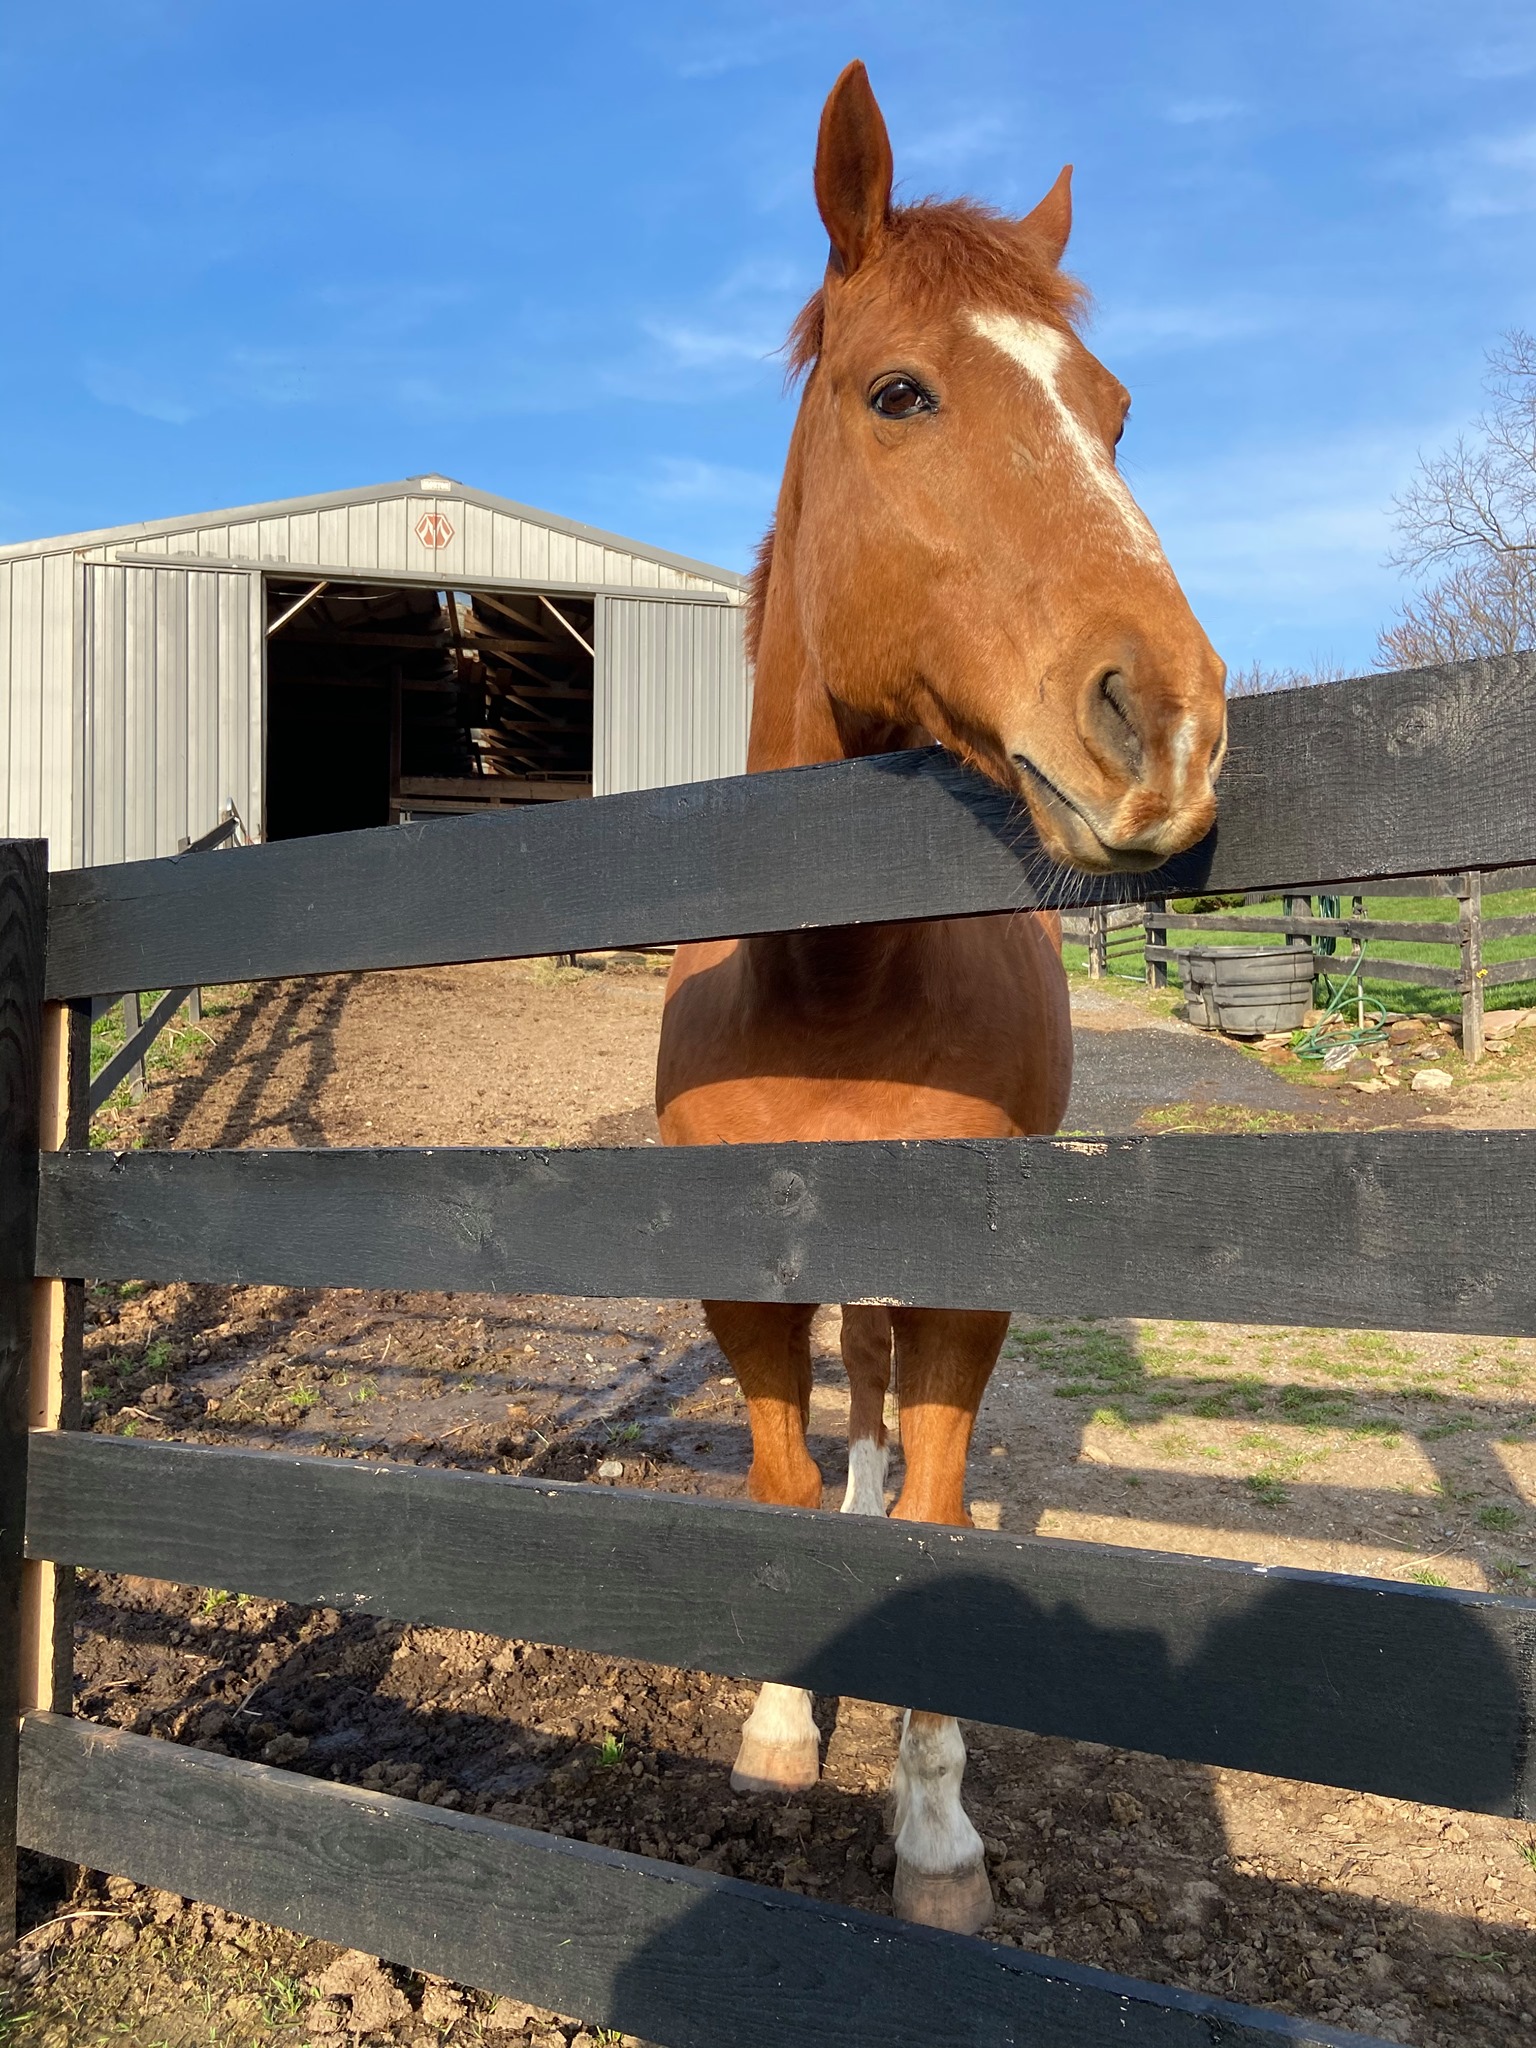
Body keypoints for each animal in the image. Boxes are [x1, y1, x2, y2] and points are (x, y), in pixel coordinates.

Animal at [655, 60, 1227, 1935]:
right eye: (899, 391)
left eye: (1112, 410)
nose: (1169, 723)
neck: (830, 963)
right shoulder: (740, 1283)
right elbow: (780, 1481)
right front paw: (779, 1729)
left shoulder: (968, 1281)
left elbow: (935, 1514)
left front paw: (935, 1837)